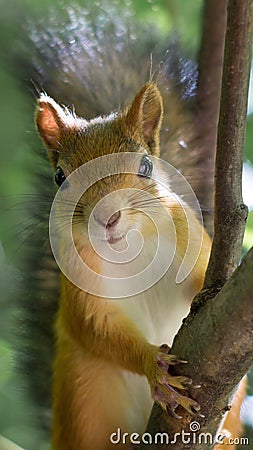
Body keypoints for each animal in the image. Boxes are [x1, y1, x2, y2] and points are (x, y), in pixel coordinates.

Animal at [12, 0, 247, 450]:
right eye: (60, 177)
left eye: (146, 166)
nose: (108, 217)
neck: (130, 249)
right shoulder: (81, 291)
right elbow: (96, 330)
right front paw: (154, 368)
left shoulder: (193, 241)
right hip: (84, 401)